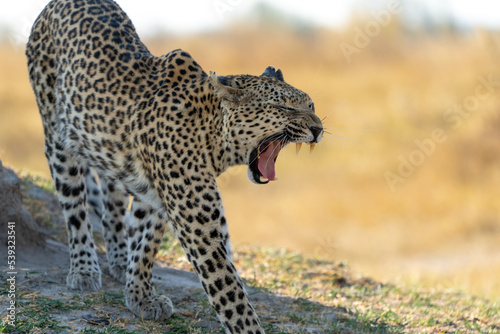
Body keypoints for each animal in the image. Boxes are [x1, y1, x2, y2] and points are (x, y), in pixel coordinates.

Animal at [26, 0, 324, 332]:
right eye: (284, 107)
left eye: (311, 106)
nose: (319, 129)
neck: (214, 137)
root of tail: (56, 4)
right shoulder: (198, 226)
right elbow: (231, 295)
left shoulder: (156, 198)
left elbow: (146, 244)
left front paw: (140, 295)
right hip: (57, 137)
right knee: (75, 209)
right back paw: (84, 269)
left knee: (111, 199)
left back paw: (118, 259)